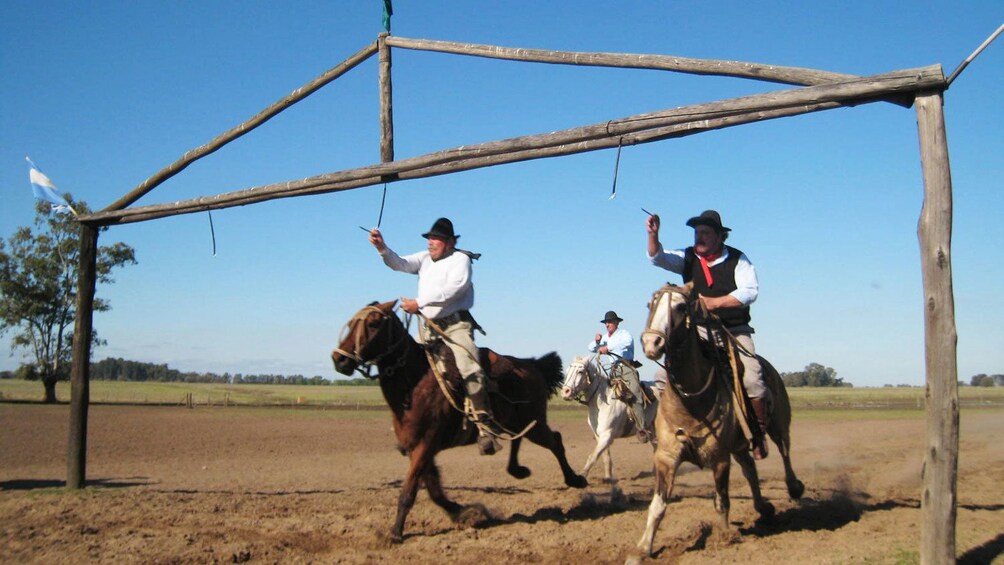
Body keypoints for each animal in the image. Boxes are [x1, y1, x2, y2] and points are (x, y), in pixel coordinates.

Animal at [329, 301, 586, 541]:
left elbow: (409, 491)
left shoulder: (426, 444)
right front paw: (464, 512)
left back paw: (575, 479)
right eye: (351, 323)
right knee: (519, 439)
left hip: (535, 423)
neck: (416, 384)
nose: (338, 360)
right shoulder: (417, 448)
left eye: (373, 324)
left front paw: (395, 534)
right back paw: (517, 469)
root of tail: (532, 365)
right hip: (518, 422)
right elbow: (433, 488)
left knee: (555, 441)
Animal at [558, 353, 658, 481]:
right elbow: (605, 457)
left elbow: (593, 456)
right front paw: (608, 478)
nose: (565, 392)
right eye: (567, 371)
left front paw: (582, 476)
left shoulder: (607, 434)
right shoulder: (599, 435)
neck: (601, 403)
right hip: (652, 429)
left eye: (580, 371)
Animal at [634, 283, 807, 557]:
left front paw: (725, 537)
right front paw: (643, 548)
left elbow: (722, 501)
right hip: (740, 444)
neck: (691, 401)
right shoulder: (666, 457)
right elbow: (658, 505)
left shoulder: (720, 459)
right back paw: (763, 508)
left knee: (784, 451)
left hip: (779, 425)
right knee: (750, 468)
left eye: (680, 307)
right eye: (650, 304)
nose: (652, 342)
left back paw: (794, 487)